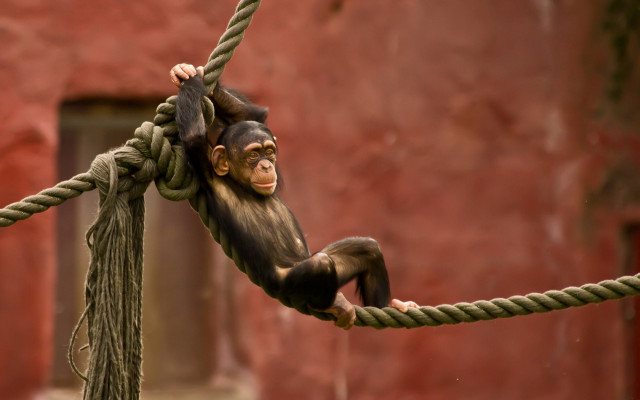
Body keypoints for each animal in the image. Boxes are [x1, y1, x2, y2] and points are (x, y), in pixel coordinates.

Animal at [171, 63, 418, 329]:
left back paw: (390, 305)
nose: (266, 165)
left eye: (269, 151)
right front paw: (188, 80)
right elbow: (193, 138)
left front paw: (194, 77)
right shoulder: (208, 171)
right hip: (289, 286)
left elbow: (253, 116)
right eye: (253, 155)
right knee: (320, 265)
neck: (243, 186)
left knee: (367, 248)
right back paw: (333, 304)